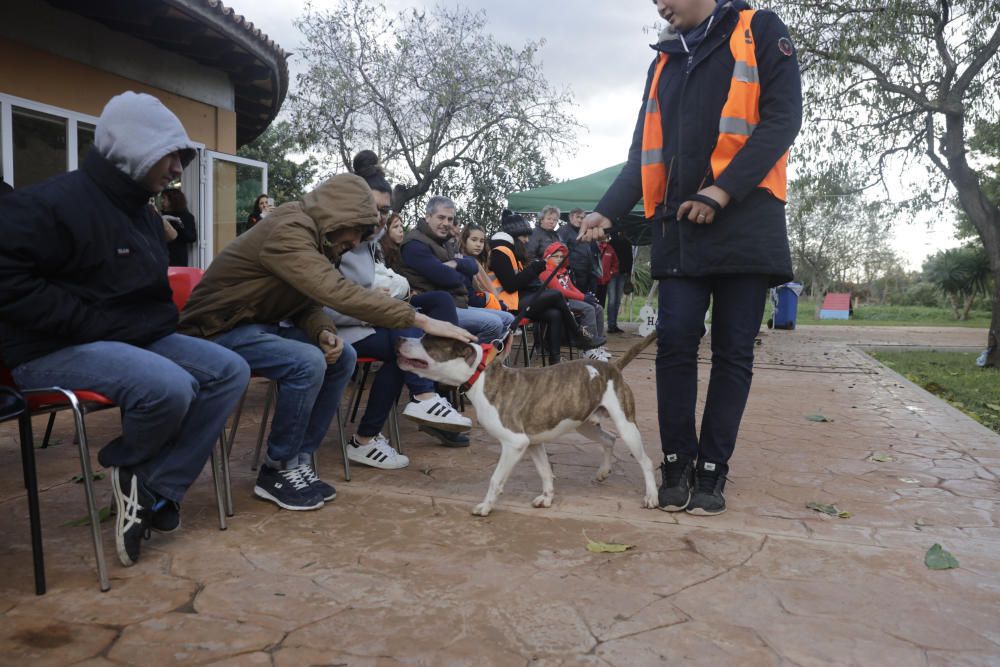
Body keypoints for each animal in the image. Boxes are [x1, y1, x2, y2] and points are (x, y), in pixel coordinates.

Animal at [394, 332, 660, 516]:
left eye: (427, 342)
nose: (400, 338)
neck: (480, 377)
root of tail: (612, 367)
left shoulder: (515, 443)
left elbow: (496, 478)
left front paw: (486, 507)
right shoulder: (532, 443)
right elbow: (545, 471)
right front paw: (547, 498)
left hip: (626, 425)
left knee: (645, 461)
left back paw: (651, 497)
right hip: (583, 423)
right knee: (609, 439)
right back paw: (604, 471)